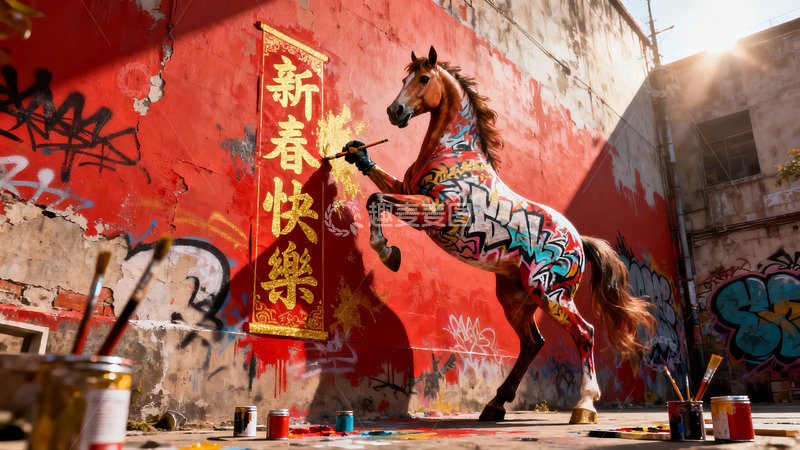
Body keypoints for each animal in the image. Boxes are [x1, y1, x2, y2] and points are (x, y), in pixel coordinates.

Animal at [340, 46, 655, 423]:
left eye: (424, 78)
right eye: (404, 79)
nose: (394, 111)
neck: (454, 151)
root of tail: (580, 240)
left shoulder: (437, 211)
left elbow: (376, 200)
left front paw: (388, 253)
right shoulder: (407, 190)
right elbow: (378, 189)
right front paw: (356, 151)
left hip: (551, 293)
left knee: (584, 333)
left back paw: (584, 406)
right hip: (515, 298)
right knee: (533, 343)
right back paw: (495, 404)